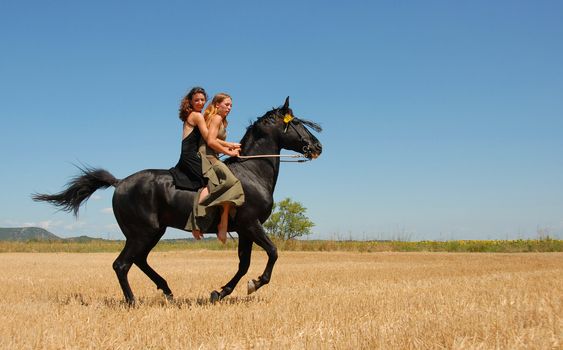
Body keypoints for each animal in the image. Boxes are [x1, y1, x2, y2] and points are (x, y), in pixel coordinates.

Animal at [33, 97, 322, 304]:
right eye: (297, 123)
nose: (318, 146)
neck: (251, 171)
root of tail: (120, 182)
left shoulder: (244, 230)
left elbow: (243, 264)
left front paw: (220, 292)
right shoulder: (251, 225)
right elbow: (272, 253)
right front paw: (255, 284)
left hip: (151, 232)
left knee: (139, 261)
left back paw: (167, 291)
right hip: (143, 232)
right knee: (122, 264)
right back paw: (133, 301)